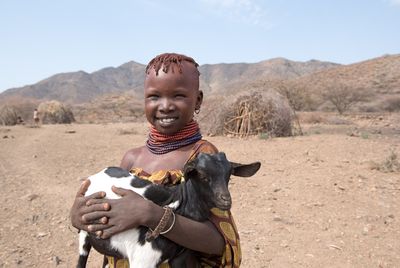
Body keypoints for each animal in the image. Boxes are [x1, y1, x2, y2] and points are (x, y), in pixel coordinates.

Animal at [76, 153, 260, 268]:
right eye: (202, 175)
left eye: (229, 175)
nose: (226, 200)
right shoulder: (143, 259)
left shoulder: (180, 257)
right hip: (85, 234)